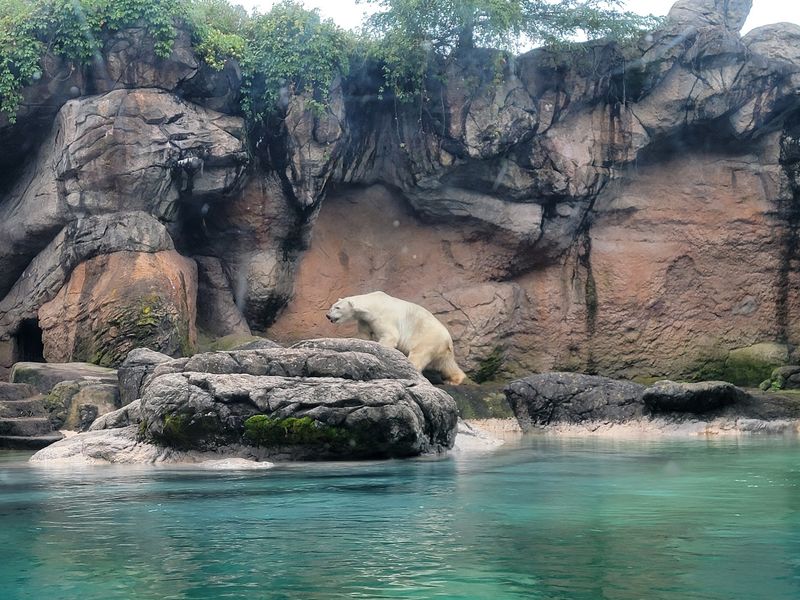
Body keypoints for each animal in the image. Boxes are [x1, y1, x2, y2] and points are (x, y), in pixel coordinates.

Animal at [326, 291, 467, 385]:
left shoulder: (383, 317)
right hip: (441, 348)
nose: (327, 315)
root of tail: (448, 340)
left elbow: (391, 336)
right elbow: (364, 336)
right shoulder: (365, 320)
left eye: (337, 307)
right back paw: (455, 379)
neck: (374, 304)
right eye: (332, 306)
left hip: (428, 339)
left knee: (418, 356)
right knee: (447, 364)